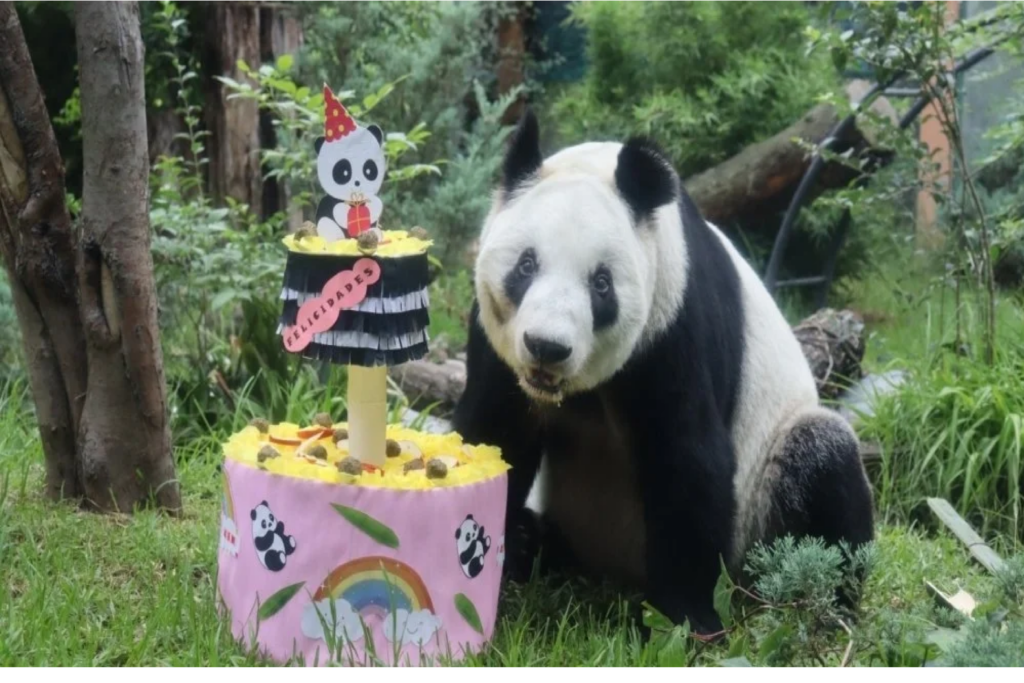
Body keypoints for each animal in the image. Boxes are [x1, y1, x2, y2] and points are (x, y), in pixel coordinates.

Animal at [451, 110, 875, 636]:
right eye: (526, 265)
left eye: (601, 284)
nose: (547, 348)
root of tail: (611, 570)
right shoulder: (497, 345)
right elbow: (497, 432)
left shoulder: (673, 323)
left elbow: (688, 457)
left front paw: (687, 618)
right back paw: (532, 543)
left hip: (762, 501)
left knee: (821, 459)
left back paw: (821, 599)